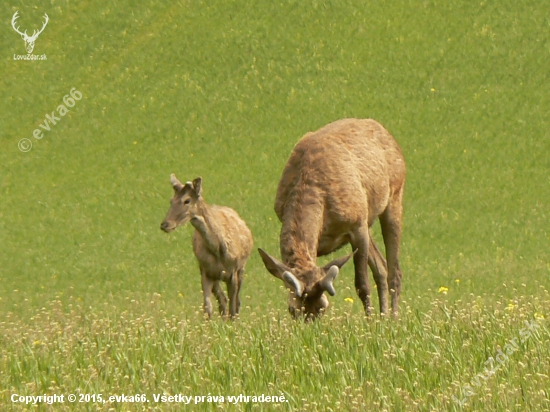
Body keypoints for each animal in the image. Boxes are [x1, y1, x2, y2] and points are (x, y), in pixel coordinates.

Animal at [161, 175, 253, 318]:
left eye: (187, 200)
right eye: (171, 200)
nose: (165, 224)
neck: (218, 250)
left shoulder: (233, 272)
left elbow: (233, 307)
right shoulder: (206, 272)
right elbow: (207, 308)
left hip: (241, 269)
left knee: (236, 301)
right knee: (222, 299)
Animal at [258, 117, 406, 320]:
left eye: (323, 308)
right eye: (293, 310)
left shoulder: (357, 226)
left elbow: (362, 285)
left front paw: (369, 322)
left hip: (394, 196)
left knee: (394, 270)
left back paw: (393, 319)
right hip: (368, 217)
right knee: (382, 267)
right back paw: (383, 317)